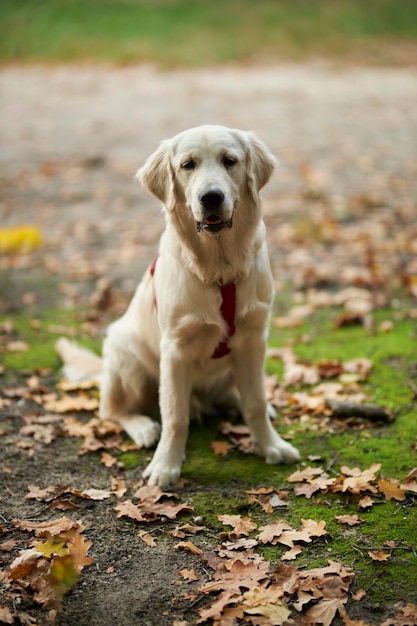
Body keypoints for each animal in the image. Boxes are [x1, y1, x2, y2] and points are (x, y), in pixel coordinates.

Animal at [59, 124, 300, 486]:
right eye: (188, 165)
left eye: (230, 161)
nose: (211, 197)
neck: (220, 270)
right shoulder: (175, 350)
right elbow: (174, 414)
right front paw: (166, 466)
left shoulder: (254, 340)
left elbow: (255, 402)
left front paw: (271, 445)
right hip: (127, 357)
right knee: (112, 411)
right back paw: (143, 427)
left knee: (233, 396)